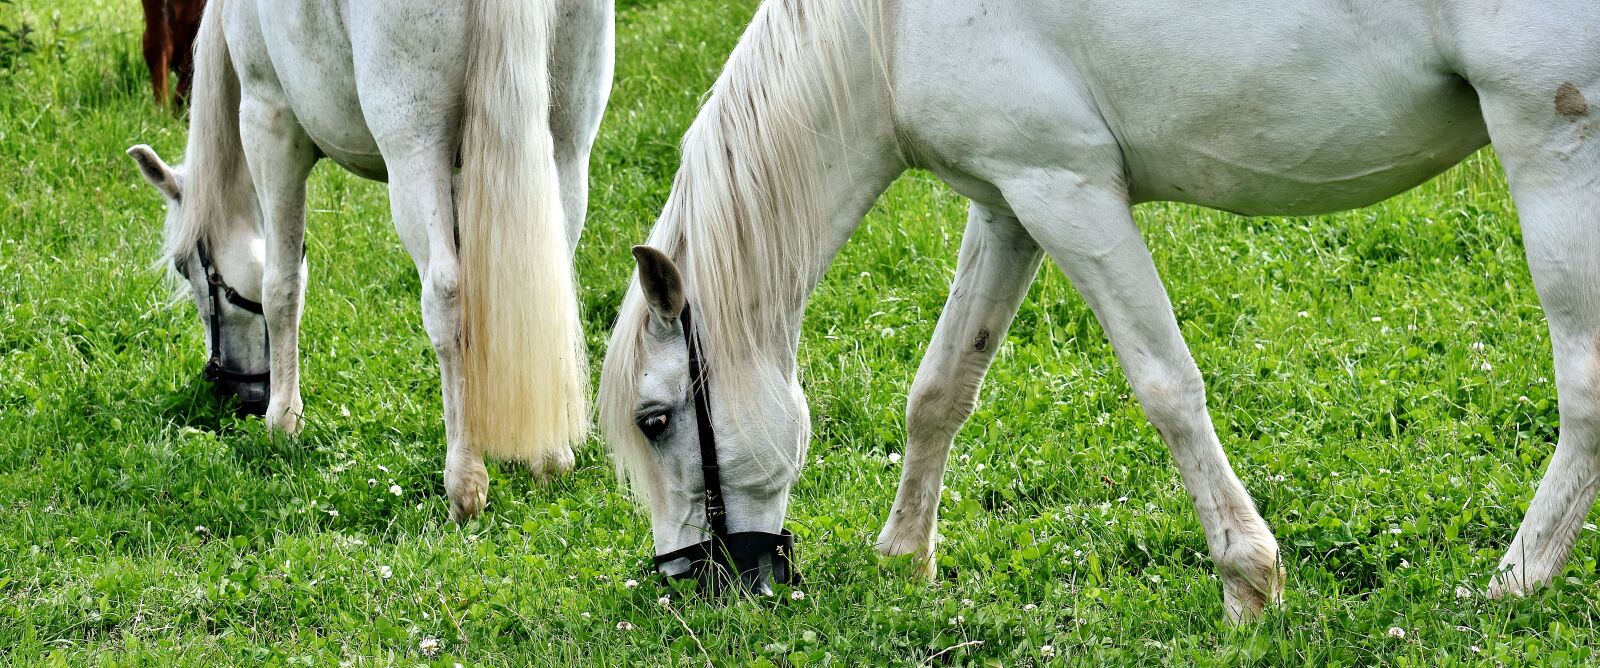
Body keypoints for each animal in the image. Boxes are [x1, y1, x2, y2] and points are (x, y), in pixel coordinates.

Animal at [126, 0, 613, 522]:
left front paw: (283, 421)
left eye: (188, 269)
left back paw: (464, 481)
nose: (241, 395)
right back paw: (550, 456)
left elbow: (281, 286)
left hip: (414, 149)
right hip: (565, 144)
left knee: (447, 297)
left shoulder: (268, 116)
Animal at [599, 0, 1599, 621]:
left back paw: (1513, 585)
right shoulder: (1007, 206)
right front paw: (906, 559)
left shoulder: (1068, 192)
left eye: (656, 421)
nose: (692, 588)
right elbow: (940, 391)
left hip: (1553, 149)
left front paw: (1249, 584)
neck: (886, 30)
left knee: (1584, 386)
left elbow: (1167, 388)